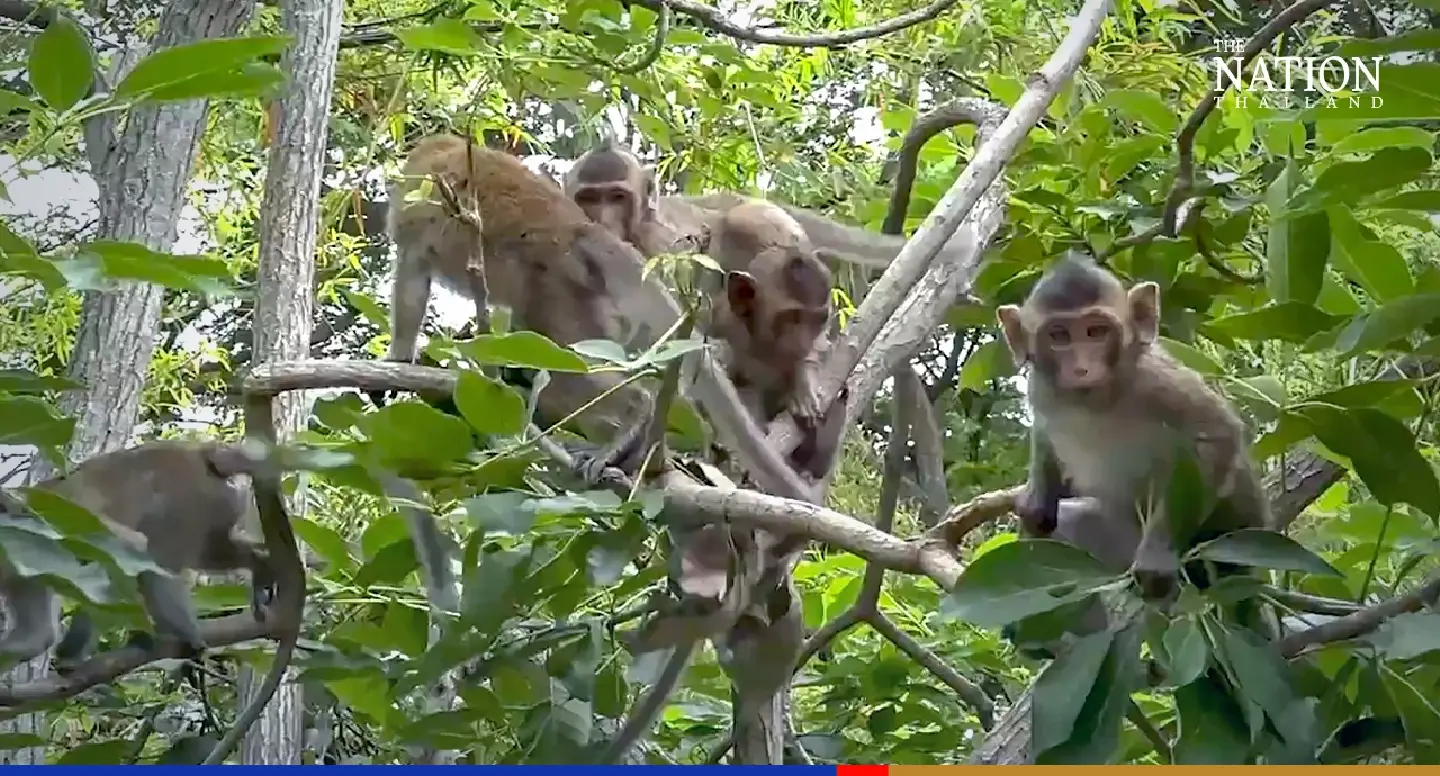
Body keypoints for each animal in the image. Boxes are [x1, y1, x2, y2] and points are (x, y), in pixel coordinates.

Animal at [0, 440, 275, 671]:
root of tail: (198, 451)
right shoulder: (25, 571)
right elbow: (35, 638)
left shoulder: (51, 526)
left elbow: (126, 549)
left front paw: (72, 652)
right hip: (219, 503)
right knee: (213, 548)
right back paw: (259, 565)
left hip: (186, 499)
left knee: (157, 558)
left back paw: (177, 630)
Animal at [383, 133, 815, 503]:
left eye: (618, 198)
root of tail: (581, 231)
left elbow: (412, 276)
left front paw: (397, 357)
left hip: (559, 296)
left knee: (559, 361)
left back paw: (633, 415)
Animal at [995, 253, 1272, 609]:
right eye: (1058, 337)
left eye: (1096, 331)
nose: (1082, 368)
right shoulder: (1039, 386)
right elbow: (1044, 433)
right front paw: (1037, 499)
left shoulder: (1155, 380)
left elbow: (1216, 435)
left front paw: (1157, 557)